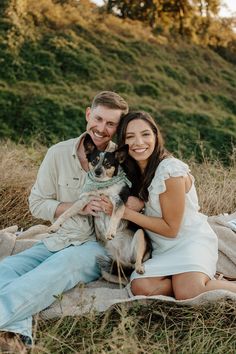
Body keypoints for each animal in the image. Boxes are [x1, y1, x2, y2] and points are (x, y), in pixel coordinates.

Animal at [48, 133, 151, 284]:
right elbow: (66, 212)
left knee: (137, 259)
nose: (97, 171)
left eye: (107, 164)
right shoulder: (85, 200)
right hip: (108, 268)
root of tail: (124, 259)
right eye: (94, 161)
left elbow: (115, 215)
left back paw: (139, 267)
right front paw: (55, 226)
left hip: (140, 234)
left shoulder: (118, 201)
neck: (102, 186)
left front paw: (110, 232)